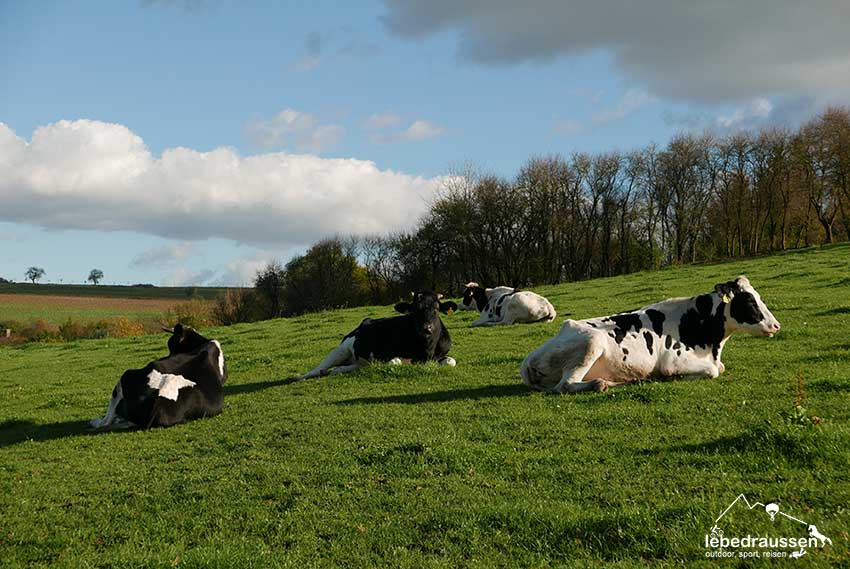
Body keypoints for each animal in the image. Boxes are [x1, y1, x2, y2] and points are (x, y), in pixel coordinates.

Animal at [297, 290, 458, 379]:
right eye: (414, 309)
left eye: (436, 309)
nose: (426, 328)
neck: (426, 350)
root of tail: (365, 321)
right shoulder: (384, 354)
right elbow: (395, 361)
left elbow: (451, 361)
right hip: (340, 350)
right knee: (318, 369)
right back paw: (301, 377)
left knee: (345, 368)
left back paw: (339, 370)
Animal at [520, 276, 780, 394]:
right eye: (749, 301)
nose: (776, 325)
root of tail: (529, 357)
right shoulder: (673, 362)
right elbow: (713, 371)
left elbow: (720, 368)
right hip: (591, 343)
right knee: (565, 385)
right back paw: (600, 383)